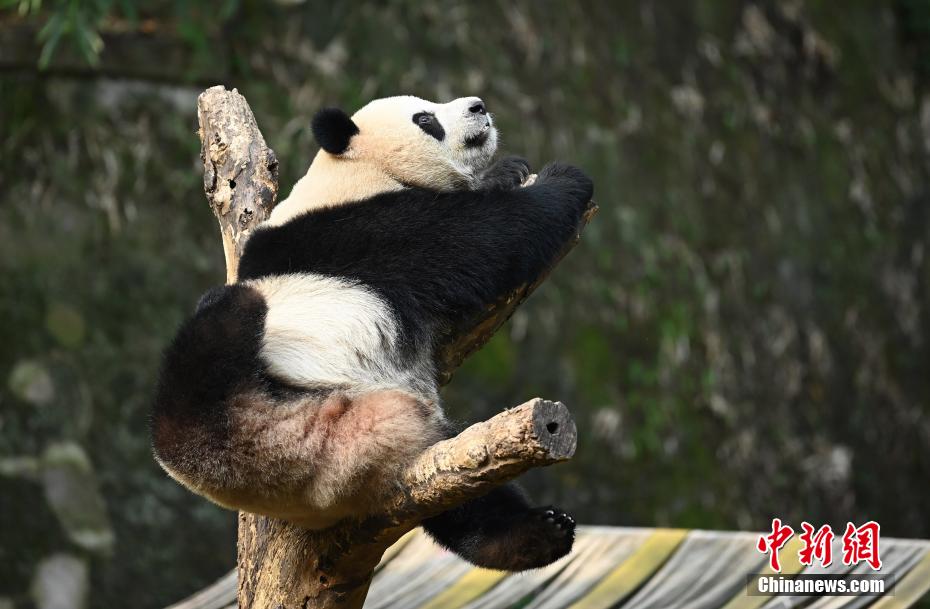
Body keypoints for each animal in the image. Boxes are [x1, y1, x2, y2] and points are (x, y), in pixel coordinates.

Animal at [149, 94, 592, 568]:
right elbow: (489, 238)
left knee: (458, 481)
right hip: (294, 413)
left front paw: (508, 171)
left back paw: (531, 535)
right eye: (426, 119)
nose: (478, 105)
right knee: (223, 322)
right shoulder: (370, 229)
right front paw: (565, 178)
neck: (355, 169)